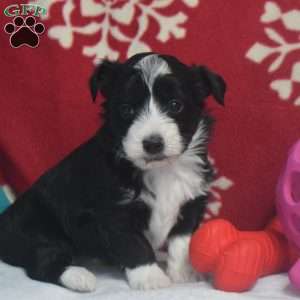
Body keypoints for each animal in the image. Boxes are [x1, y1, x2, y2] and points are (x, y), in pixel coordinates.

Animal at [0, 52, 225, 292]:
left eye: (175, 105)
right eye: (127, 109)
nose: (152, 144)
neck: (161, 169)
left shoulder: (192, 199)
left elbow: (182, 239)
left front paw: (184, 272)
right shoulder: (115, 210)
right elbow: (134, 243)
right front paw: (150, 278)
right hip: (38, 229)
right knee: (42, 261)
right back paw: (80, 276)